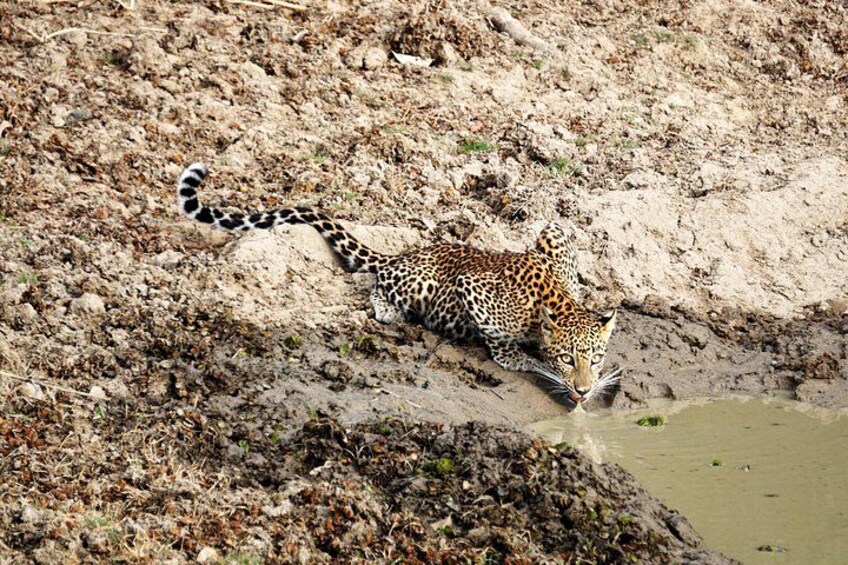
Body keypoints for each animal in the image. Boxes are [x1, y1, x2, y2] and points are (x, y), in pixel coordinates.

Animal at [177, 163, 620, 404]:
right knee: (377, 284)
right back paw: (390, 311)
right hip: (418, 282)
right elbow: (502, 346)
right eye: (568, 360)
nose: (583, 390)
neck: (556, 300)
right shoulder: (474, 287)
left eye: (596, 358)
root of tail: (402, 254)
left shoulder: (552, 233)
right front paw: (525, 359)